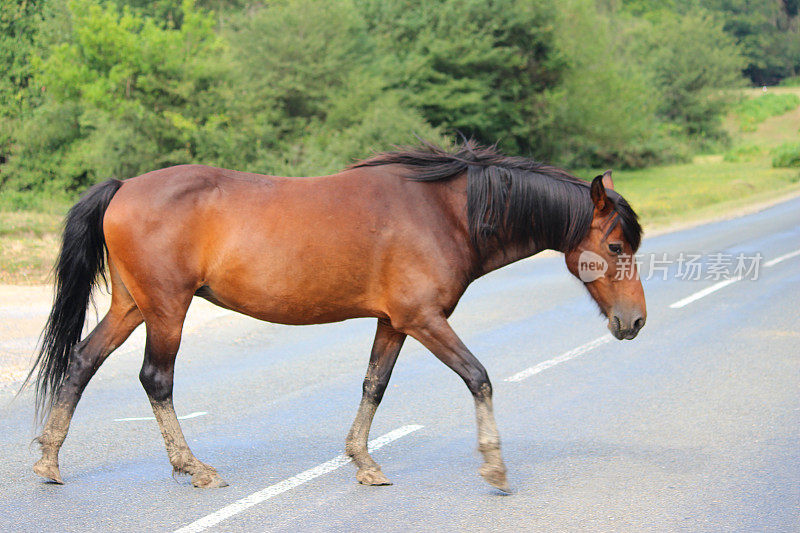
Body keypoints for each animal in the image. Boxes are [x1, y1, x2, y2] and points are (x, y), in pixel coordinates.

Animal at [26, 140, 644, 490]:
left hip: (133, 306)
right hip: (166, 310)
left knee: (82, 362)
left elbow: (374, 385)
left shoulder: (394, 322)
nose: (634, 322)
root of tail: (125, 185)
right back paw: (193, 468)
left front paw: (363, 462)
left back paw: (50, 461)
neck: (445, 213)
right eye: (615, 246)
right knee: (156, 379)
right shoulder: (425, 320)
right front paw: (494, 466)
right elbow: (479, 377)